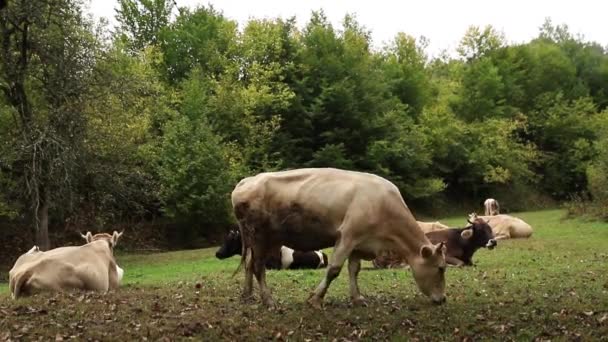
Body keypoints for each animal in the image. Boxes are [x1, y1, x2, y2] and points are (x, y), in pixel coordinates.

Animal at [232, 168, 446, 308]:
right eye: (441, 268)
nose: (443, 299)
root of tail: (247, 181)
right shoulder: (347, 236)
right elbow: (334, 269)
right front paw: (315, 299)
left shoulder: (360, 243)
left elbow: (354, 270)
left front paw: (357, 298)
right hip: (259, 236)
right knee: (258, 267)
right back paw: (268, 301)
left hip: (263, 240)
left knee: (249, 265)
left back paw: (247, 295)